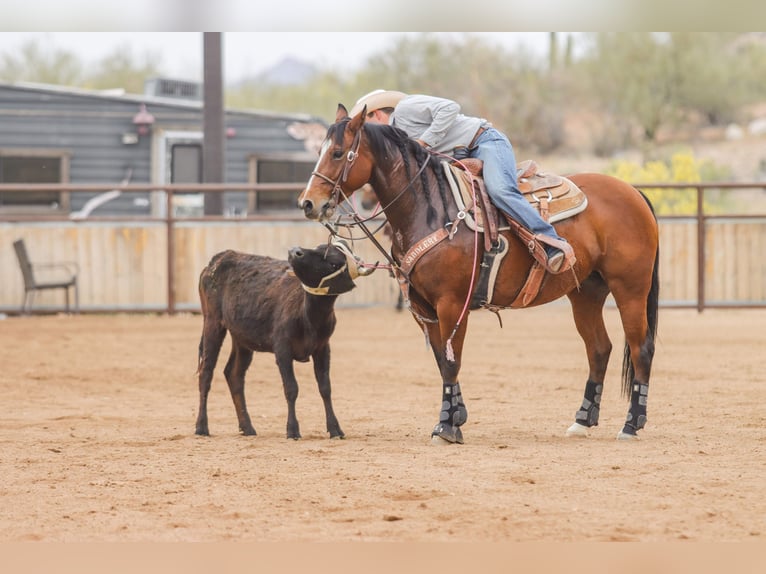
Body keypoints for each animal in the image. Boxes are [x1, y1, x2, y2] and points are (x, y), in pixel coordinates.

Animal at [298, 104, 659, 443]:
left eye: (338, 152)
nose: (308, 203)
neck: (430, 208)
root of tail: (634, 192)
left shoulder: (451, 303)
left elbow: (452, 360)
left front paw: (446, 426)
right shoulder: (424, 308)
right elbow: (442, 361)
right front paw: (454, 417)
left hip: (630, 289)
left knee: (640, 348)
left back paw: (631, 424)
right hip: (586, 292)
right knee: (599, 348)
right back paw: (582, 420)